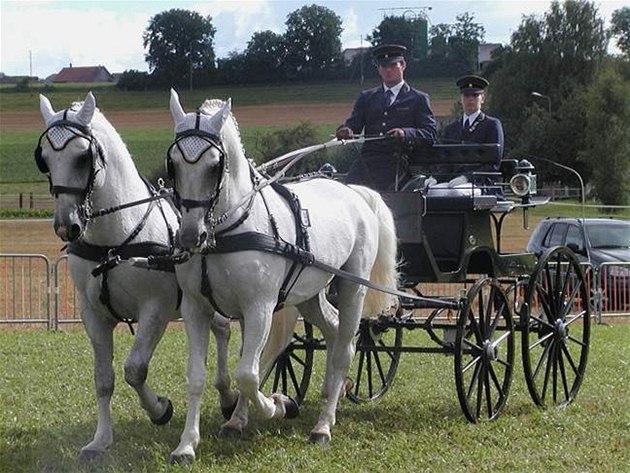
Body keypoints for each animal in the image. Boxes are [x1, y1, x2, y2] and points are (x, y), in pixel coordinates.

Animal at [38, 93, 296, 460]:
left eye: (82, 156)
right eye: (45, 158)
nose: (66, 225)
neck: (114, 238)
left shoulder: (155, 310)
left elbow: (135, 369)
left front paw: (160, 409)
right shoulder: (94, 315)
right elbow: (104, 379)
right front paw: (100, 440)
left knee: (235, 342)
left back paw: (232, 402)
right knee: (221, 330)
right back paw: (227, 397)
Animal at [168, 88, 400, 460]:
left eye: (215, 165)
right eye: (173, 163)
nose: (191, 236)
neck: (229, 230)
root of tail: (355, 192)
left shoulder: (260, 308)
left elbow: (248, 374)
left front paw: (279, 403)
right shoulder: (195, 309)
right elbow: (198, 376)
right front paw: (188, 444)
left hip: (353, 288)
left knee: (345, 349)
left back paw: (323, 426)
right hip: (309, 295)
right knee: (333, 331)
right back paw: (327, 398)